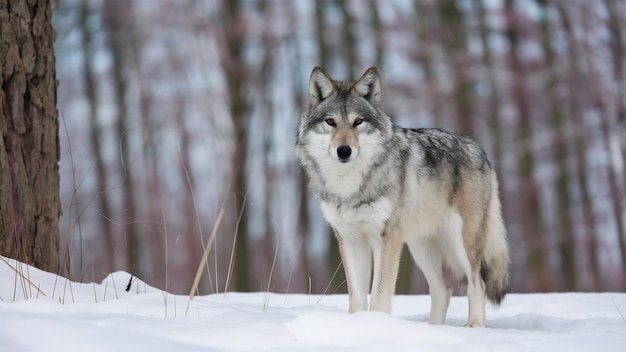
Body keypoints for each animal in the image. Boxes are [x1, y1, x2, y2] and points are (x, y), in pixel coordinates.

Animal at [294, 66, 510, 328]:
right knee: (443, 289)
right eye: (330, 122)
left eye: (357, 122)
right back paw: (433, 329)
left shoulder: (386, 238)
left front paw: (376, 325)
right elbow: (357, 298)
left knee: (477, 284)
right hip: (420, 247)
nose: (344, 151)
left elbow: (379, 295)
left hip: (460, 243)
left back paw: (474, 327)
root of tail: (480, 150)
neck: (351, 187)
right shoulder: (350, 240)